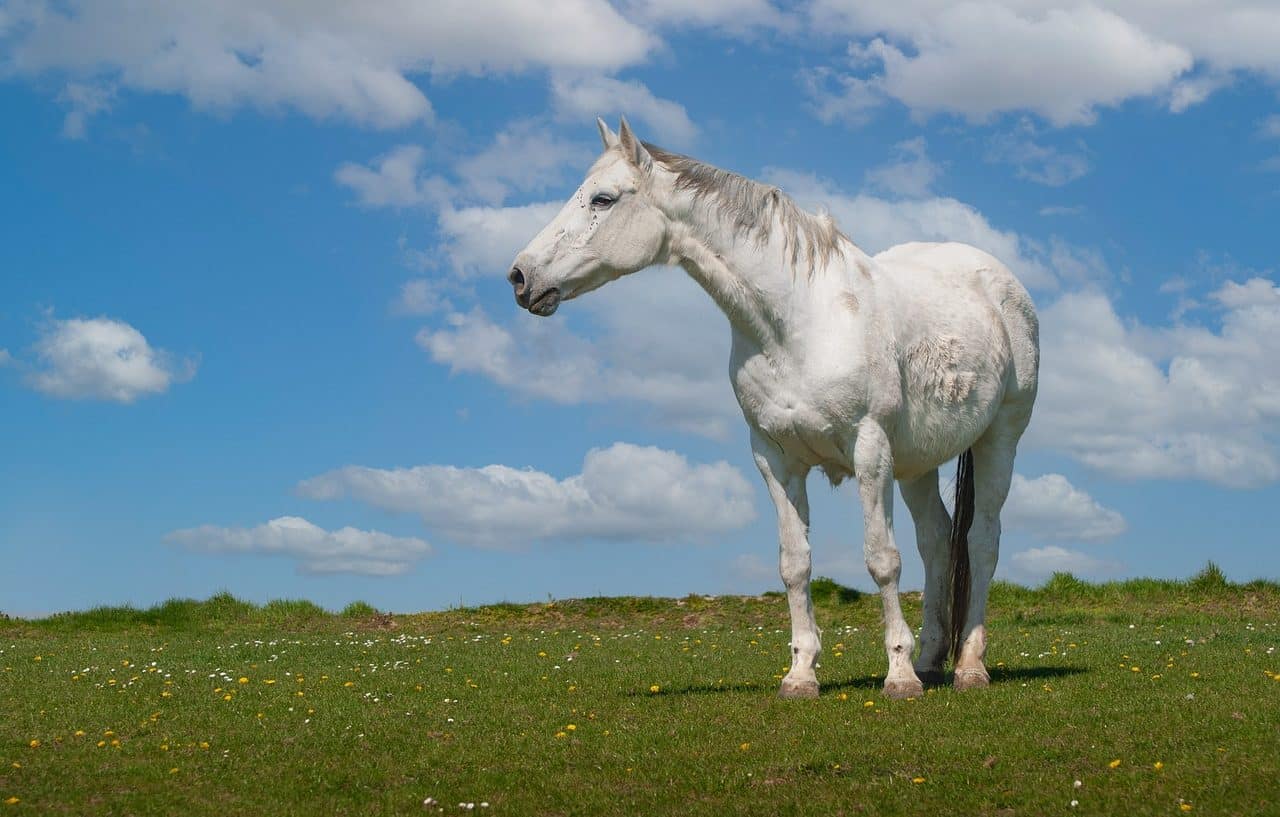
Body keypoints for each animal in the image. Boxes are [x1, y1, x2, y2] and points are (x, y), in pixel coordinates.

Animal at [509, 118, 1039, 701]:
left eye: (602, 199)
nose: (520, 276)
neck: (797, 323)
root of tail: (999, 282)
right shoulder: (774, 458)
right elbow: (795, 564)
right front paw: (801, 674)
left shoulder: (870, 449)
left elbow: (881, 559)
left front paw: (897, 677)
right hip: (917, 465)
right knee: (939, 544)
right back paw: (930, 661)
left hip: (999, 440)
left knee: (981, 541)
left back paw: (968, 665)